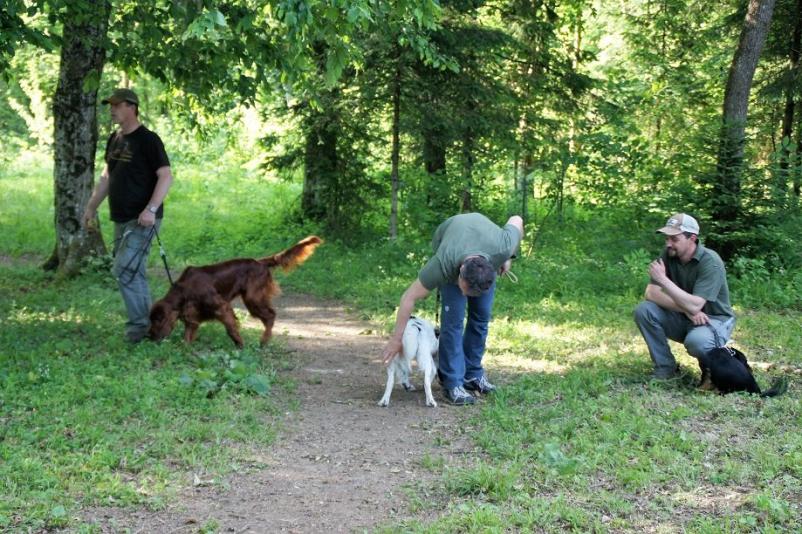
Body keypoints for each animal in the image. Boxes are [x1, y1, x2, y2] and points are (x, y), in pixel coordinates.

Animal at [150, 238, 322, 348]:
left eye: (157, 321)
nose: (149, 337)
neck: (184, 290)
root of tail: (260, 262)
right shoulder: (192, 314)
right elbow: (188, 334)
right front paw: (186, 350)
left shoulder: (221, 306)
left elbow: (231, 328)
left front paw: (239, 344)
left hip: (253, 299)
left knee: (271, 315)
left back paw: (264, 341)